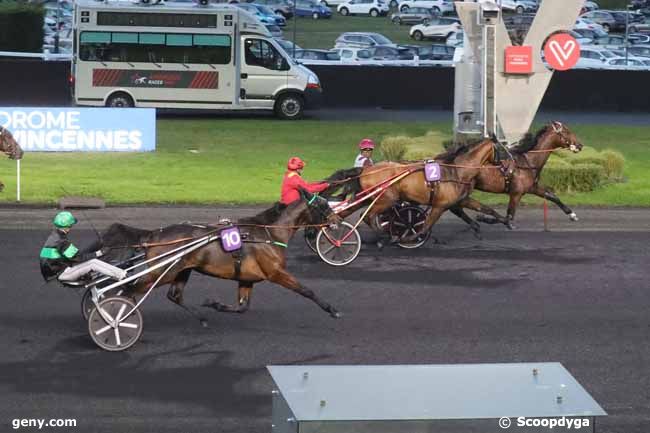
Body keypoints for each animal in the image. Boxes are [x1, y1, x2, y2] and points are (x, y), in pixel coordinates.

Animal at [97, 190, 342, 324]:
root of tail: (154, 234)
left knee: (173, 295)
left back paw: (202, 318)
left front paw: (213, 304)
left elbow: (242, 307)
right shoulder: (275, 272)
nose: (337, 221)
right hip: (162, 272)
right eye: (323, 205)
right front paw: (332, 309)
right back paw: (115, 317)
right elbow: (306, 290)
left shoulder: (247, 278)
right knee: (128, 290)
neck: (269, 234)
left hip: (181, 270)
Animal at [450, 120, 584, 224]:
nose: (580, 145)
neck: (528, 161)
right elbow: (509, 217)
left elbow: (552, 196)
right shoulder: (516, 193)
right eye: (567, 131)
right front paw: (483, 218)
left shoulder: (532, 188)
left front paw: (572, 214)